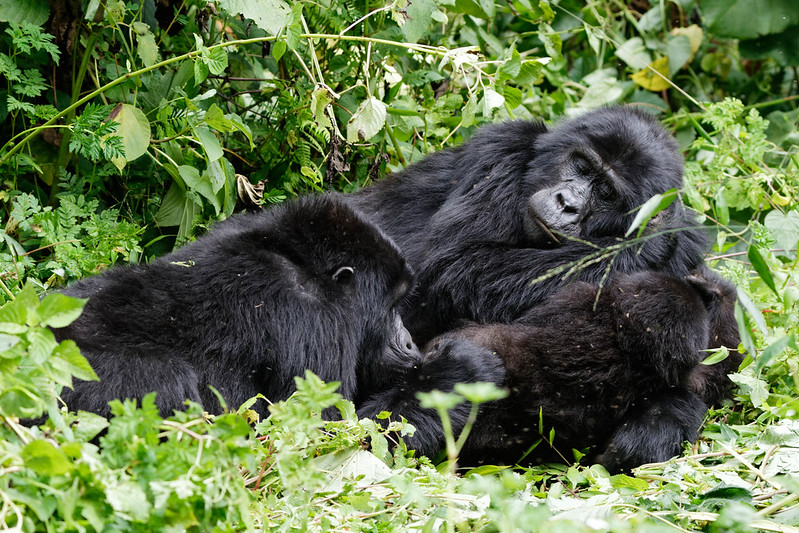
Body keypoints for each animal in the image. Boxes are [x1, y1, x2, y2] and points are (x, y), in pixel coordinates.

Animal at [47, 193, 504, 450]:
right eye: (392, 305)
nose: (408, 342)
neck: (303, 263)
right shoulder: (314, 323)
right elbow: (319, 439)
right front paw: (458, 371)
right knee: (166, 378)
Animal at [346, 106, 708, 342]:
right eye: (582, 166)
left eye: (606, 192)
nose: (567, 203)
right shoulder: (503, 148)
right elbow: (460, 265)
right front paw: (648, 239)